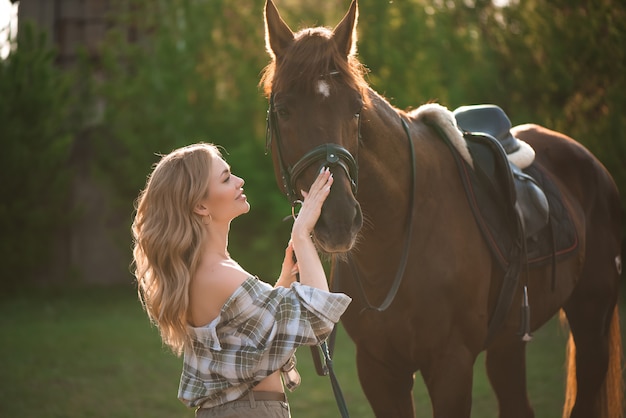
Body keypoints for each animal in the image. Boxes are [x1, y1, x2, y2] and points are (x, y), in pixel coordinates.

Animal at [258, 1, 620, 416]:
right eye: (283, 109)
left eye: (356, 109)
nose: (338, 219)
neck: (397, 244)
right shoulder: (379, 371)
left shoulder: (451, 366)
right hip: (509, 342)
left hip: (592, 321)